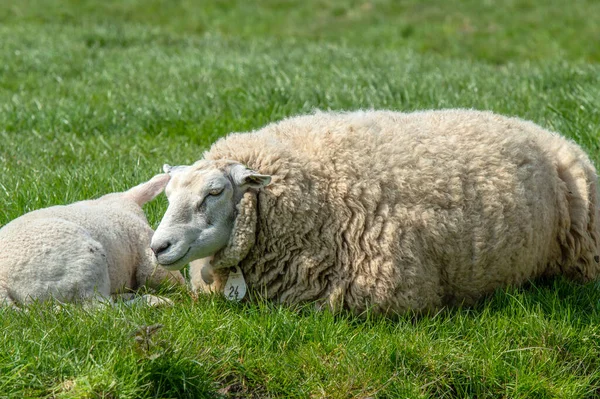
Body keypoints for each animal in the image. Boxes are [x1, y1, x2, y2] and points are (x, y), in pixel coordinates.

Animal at [0, 173, 185, 308]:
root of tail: (3, 283)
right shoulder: (145, 246)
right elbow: (162, 273)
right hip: (83, 265)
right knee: (100, 309)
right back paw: (154, 301)